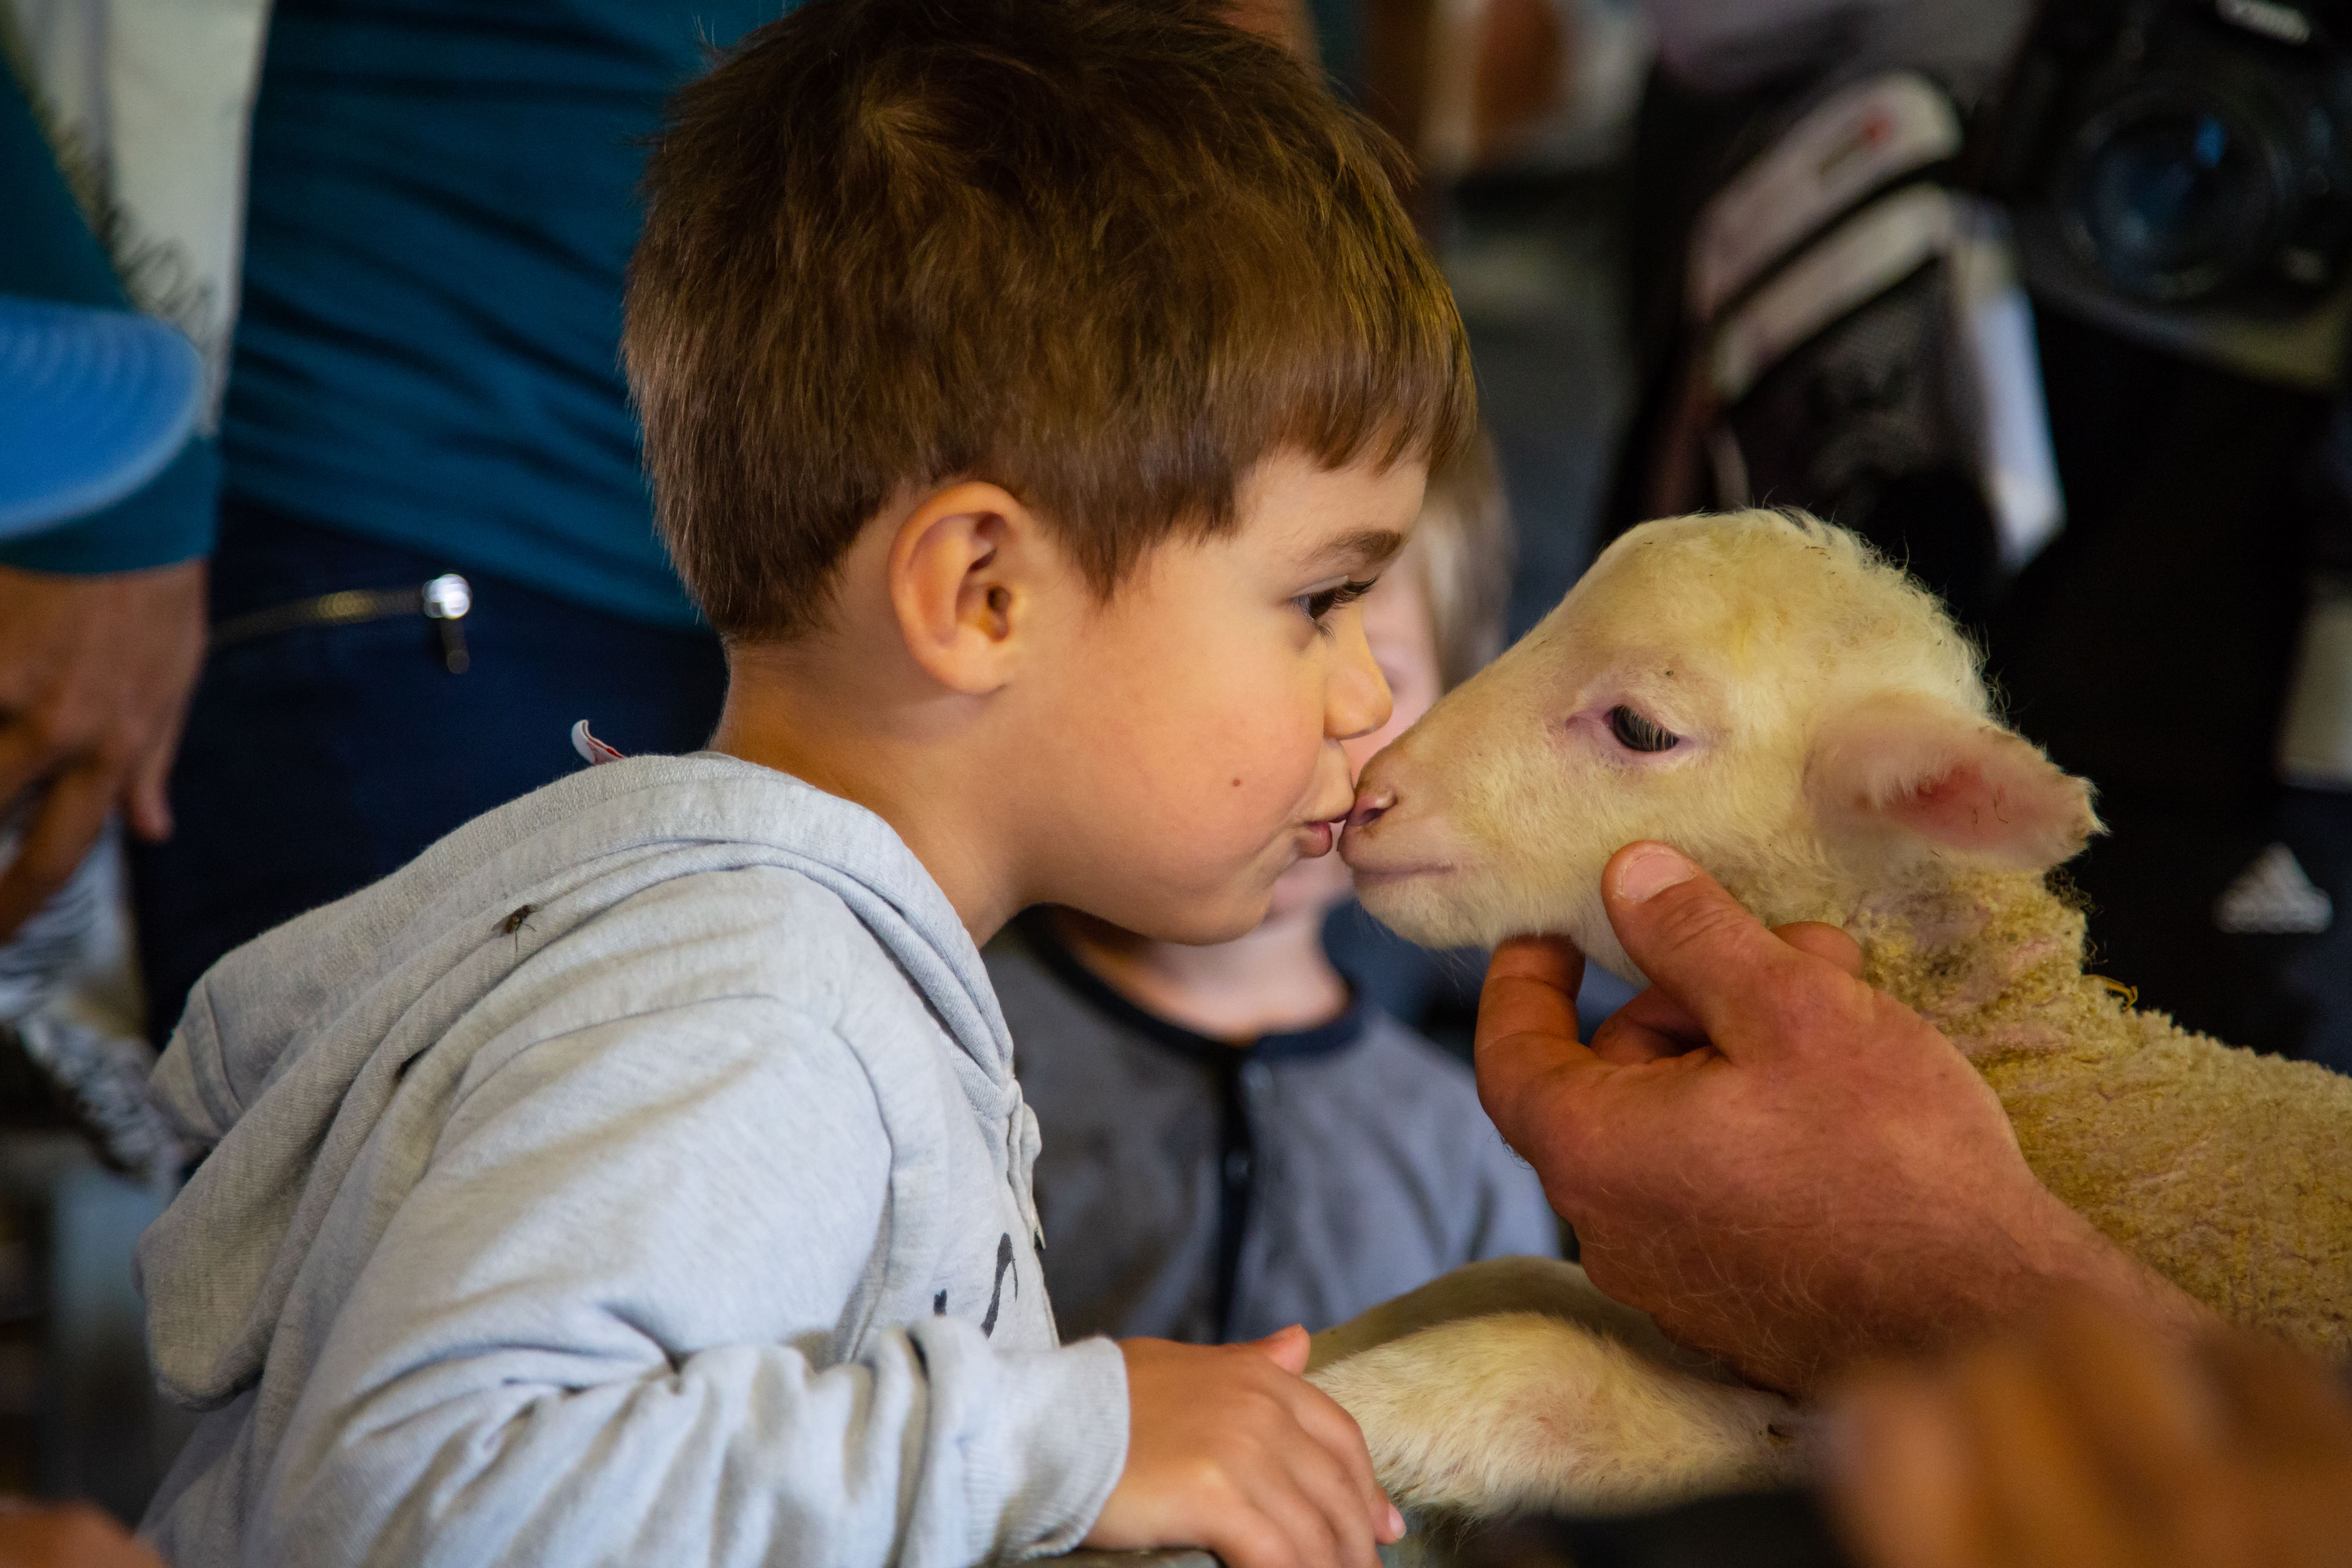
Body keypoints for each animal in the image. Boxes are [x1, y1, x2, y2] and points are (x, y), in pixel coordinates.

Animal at [1308, 512, 2352, 1523]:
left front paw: (1329, 1412)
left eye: (1641, 728)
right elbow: (1508, 1276)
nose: (1371, 800)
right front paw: (1321, 1351)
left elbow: (1548, 1380)